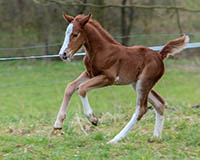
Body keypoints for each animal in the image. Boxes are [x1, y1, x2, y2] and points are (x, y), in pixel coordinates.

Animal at [52, 13, 189, 144]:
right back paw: (155, 137)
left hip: (144, 83)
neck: (100, 51)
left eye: (75, 34)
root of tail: (160, 55)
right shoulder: (89, 74)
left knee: (141, 109)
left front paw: (93, 119)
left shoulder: (109, 78)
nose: (63, 54)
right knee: (159, 103)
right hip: (138, 83)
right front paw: (57, 125)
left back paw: (115, 139)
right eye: (66, 33)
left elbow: (81, 88)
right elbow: (70, 87)